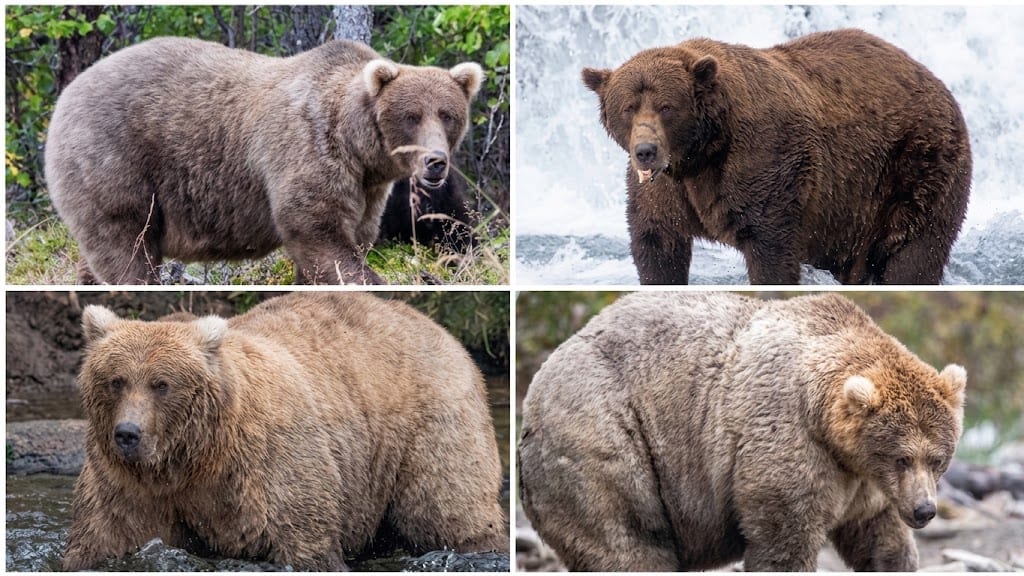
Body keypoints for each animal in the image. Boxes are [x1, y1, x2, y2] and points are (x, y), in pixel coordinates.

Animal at [44, 37, 483, 285]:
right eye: (411, 116)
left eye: (447, 115)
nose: (435, 162)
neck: (359, 146)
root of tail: (68, 92)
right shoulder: (309, 148)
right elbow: (318, 230)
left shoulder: (369, 187)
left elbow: (352, 237)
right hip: (115, 160)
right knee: (127, 245)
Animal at [63, 292, 506, 570]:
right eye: (116, 380)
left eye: (161, 384)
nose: (128, 433)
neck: (194, 459)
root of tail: (439, 329)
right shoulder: (128, 484)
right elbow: (104, 537)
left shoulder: (267, 464)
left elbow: (302, 537)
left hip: (427, 426)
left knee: (446, 508)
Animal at [519, 292, 966, 571]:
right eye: (902, 457)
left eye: (938, 458)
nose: (925, 510)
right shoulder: (788, 441)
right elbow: (784, 539)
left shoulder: (865, 484)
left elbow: (881, 539)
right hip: (604, 439)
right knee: (628, 541)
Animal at [582, 29, 971, 285]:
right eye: (628, 107)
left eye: (666, 106)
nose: (646, 151)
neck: (701, 155)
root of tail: (936, 81)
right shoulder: (665, 191)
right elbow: (657, 243)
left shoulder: (763, 160)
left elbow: (770, 248)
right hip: (851, 213)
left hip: (917, 168)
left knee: (913, 252)